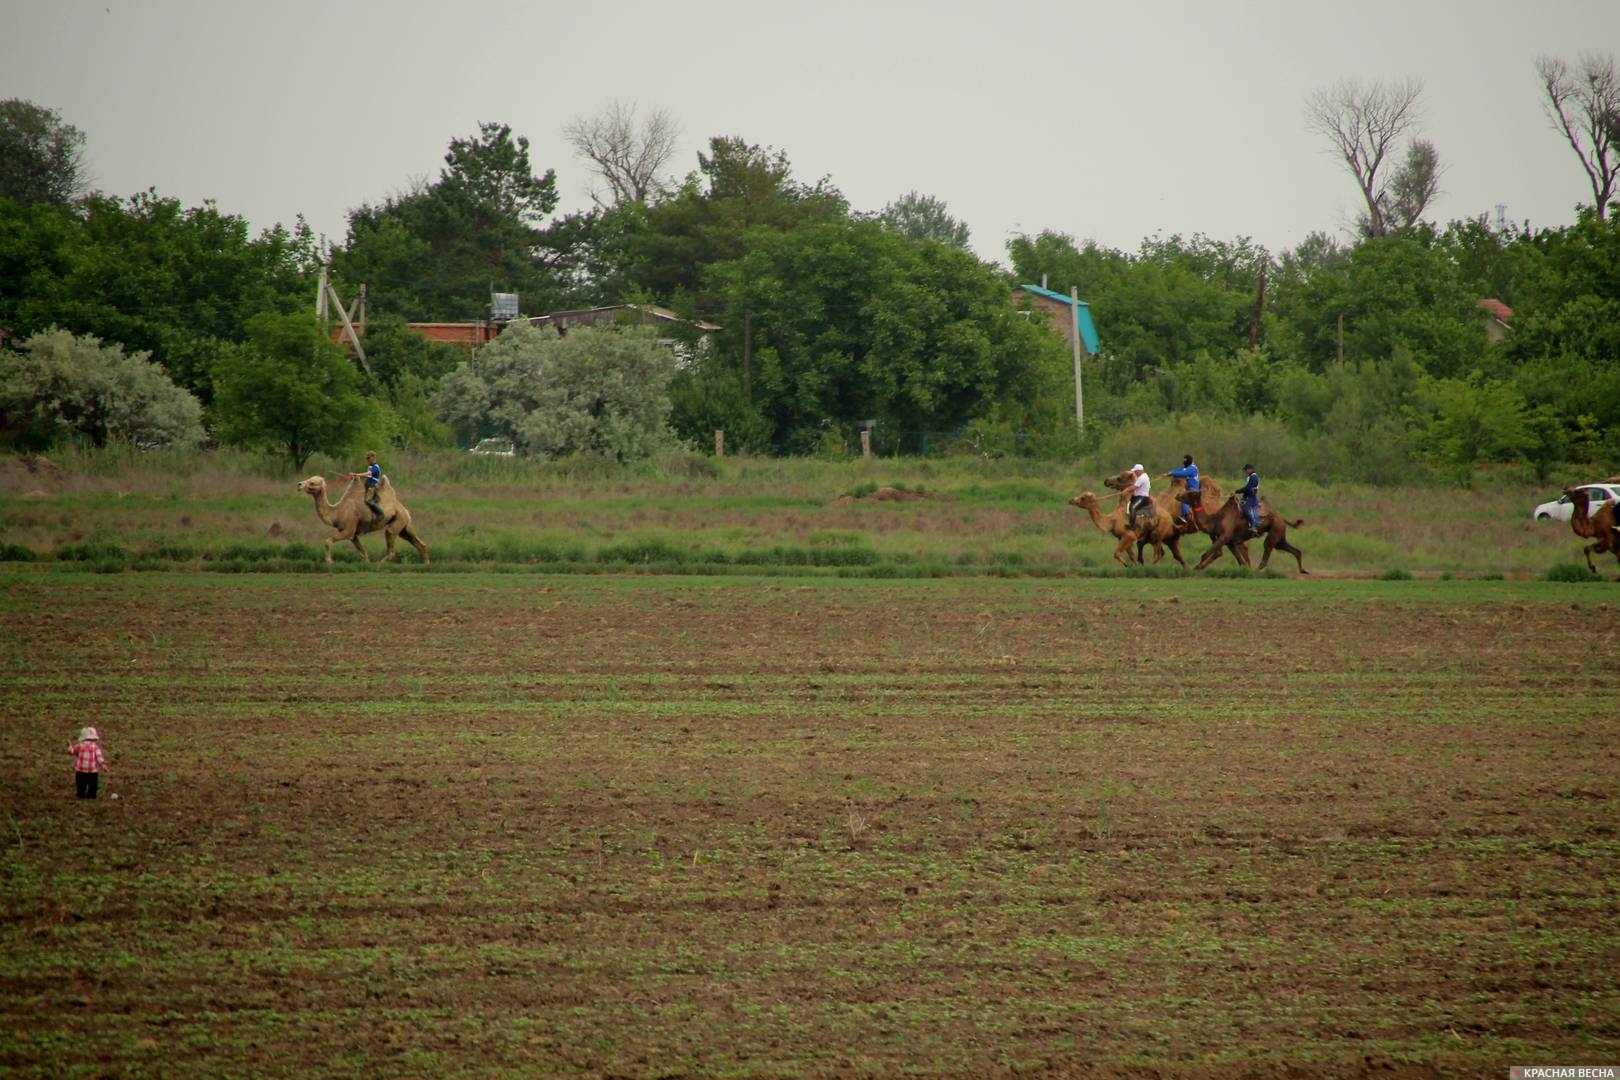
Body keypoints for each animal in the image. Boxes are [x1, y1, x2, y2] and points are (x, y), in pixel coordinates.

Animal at [294, 476, 427, 566]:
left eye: (312, 482)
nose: (299, 484)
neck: (337, 512)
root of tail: (404, 509)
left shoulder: (348, 530)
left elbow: (327, 541)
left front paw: (329, 562)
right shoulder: (353, 535)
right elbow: (363, 552)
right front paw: (367, 564)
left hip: (397, 522)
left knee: (391, 545)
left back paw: (379, 564)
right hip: (404, 526)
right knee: (419, 543)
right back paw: (426, 563)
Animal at [1062, 495, 1192, 569]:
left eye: (1083, 498)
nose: (1071, 500)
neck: (1111, 521)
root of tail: (1170, 518)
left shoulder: (1128, 535)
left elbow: (1116, 553)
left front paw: (1127, 565)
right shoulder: (1122, 538)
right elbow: (1131, 555)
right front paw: (1134, 567)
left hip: (1158, 532)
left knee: (1158, 553)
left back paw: (1150, 567)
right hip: (1160, 536)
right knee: (1172, 552)